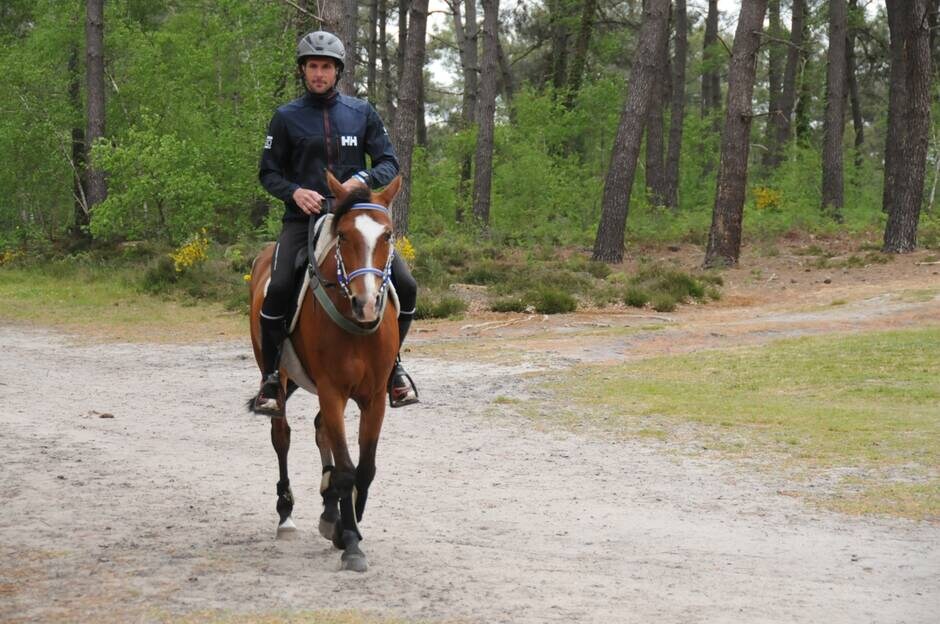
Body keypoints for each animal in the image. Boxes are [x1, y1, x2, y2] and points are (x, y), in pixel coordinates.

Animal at [246, 171, 400, 572]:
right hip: (279, 375)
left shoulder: (374, 398)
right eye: (343, 236)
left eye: (387, 235)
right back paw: (286, 514)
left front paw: (347, 524)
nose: (366, 303)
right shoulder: (333, 391)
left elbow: (364, 468)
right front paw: (350, 543)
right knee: (282, 435)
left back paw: (330, 511)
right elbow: (346, 469)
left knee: (321, 432)